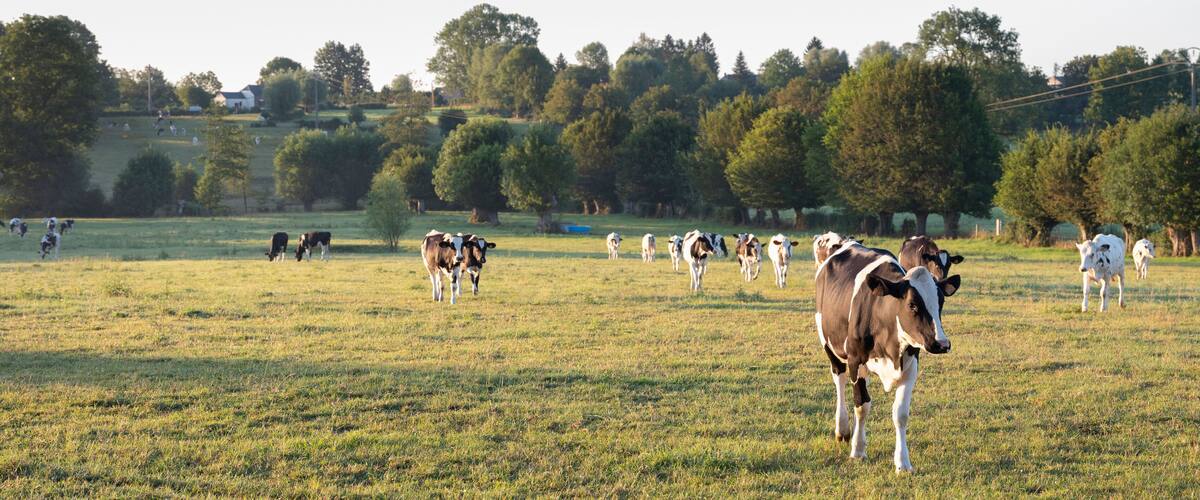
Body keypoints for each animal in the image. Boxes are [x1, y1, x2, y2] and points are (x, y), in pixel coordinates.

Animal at [815, 242, 960, 473]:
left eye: (941, 302)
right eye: (912, 305)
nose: (942, 343)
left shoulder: (911, 365)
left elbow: (900, 414)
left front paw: (903, 462)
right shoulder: (856, 361)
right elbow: (862, 406)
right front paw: (858, 450)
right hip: (829, 344)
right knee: (839, 379)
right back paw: (843, 428)